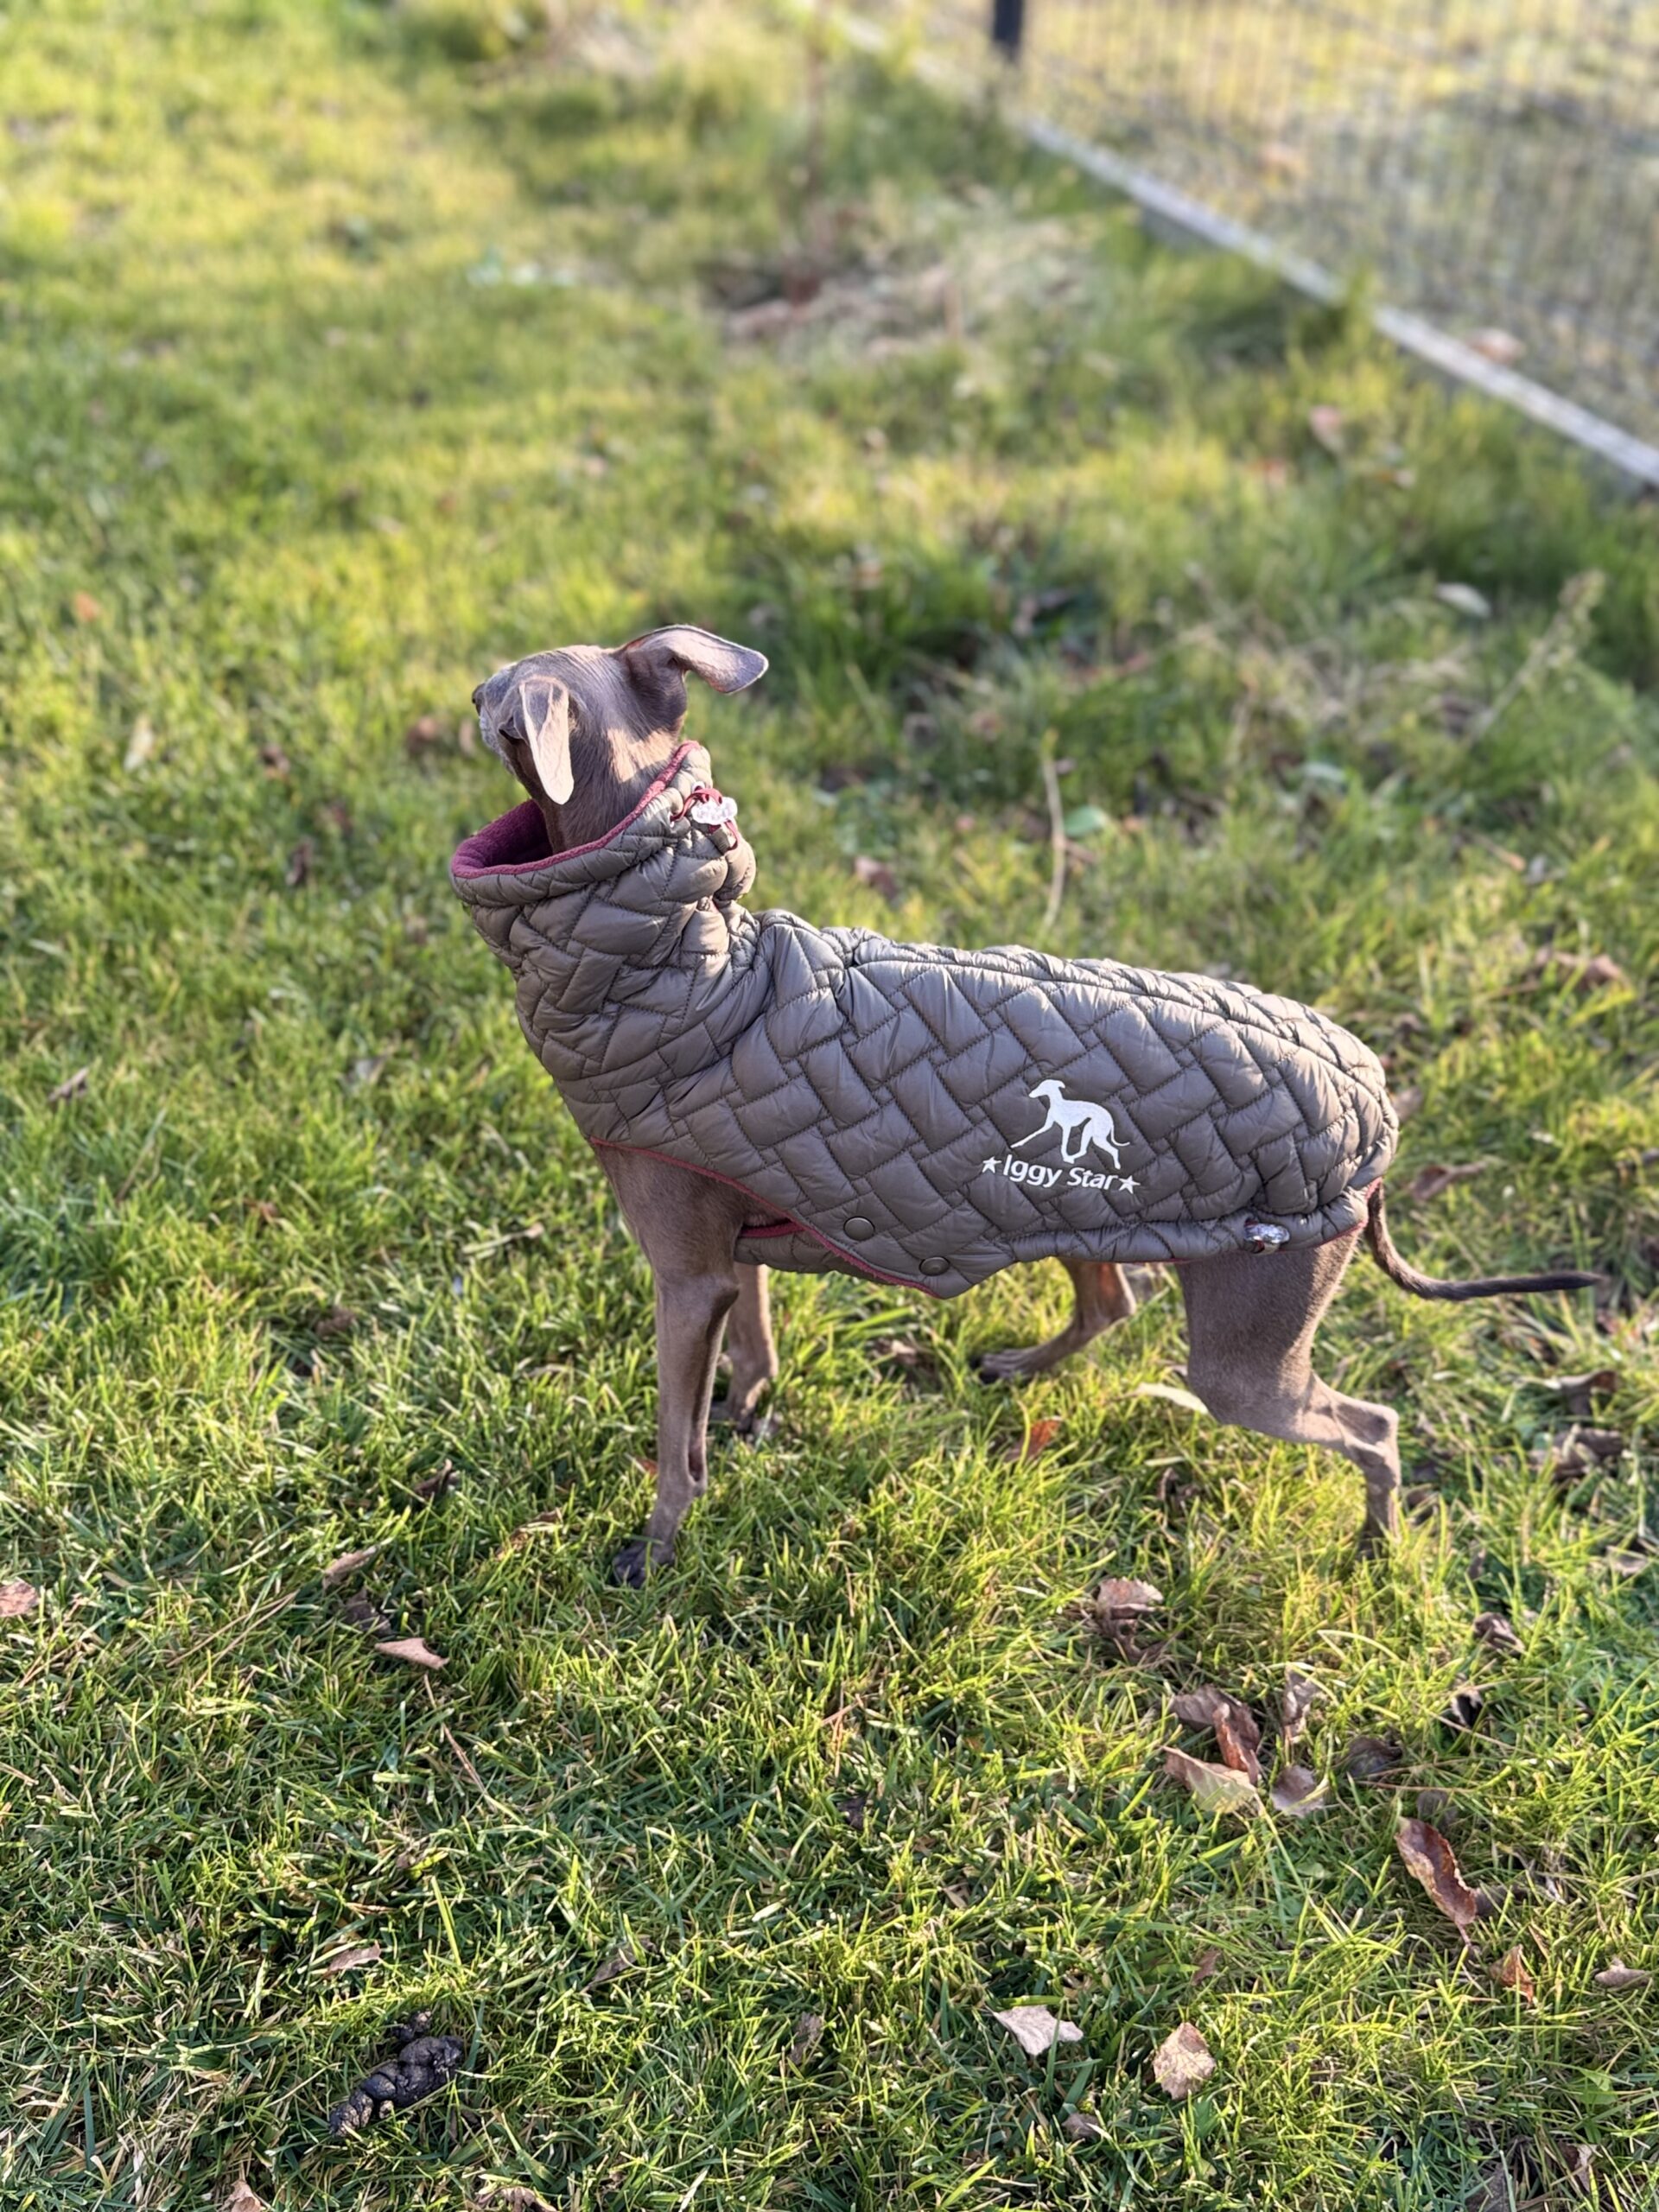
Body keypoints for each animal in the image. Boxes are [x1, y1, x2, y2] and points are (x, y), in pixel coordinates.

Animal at [454, 625, 1596, 1585]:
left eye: (499, 688)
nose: (463, 686)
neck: (695, 969)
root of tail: (1376, 1115)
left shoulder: (685, 1275)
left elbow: (673, 1445)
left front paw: (656, 1551)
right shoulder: (734, 1237)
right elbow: (755, 1352)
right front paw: (750, 1416)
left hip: (1247, 1353)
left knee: (1373, 1427)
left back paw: (1375, 1546)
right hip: (1081, 1215)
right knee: (1111, 1302)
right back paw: (1019, 1367)